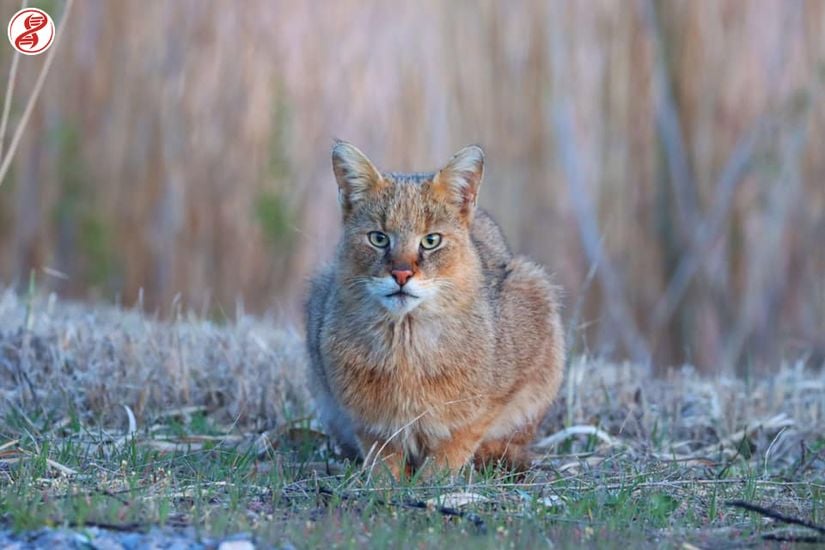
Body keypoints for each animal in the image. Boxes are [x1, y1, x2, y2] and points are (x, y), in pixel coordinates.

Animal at [306, 142, 564, 478]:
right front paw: (386, 480)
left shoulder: (498, 396)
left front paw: (435, 478)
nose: (401, 274)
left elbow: (460, 438)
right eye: (378, 238)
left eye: (430, 241)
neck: (405, 343)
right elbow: (381, 451)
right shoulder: (363, 416)